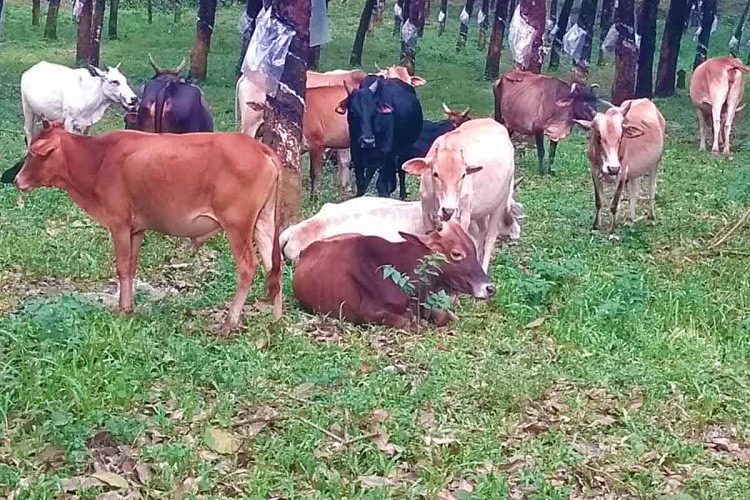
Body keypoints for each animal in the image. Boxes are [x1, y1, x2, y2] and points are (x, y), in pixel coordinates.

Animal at [14, 122, 282, 331]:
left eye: (34, 153)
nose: (17, 180)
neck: (97, 159)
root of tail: (259, 147)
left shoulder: (119, 223)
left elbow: (122, 267)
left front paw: (123, 310)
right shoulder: (137, 228)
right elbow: (132, 267)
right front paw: (129, 306)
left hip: (238, 225)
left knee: (248, 267)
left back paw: (230, 322)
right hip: (264, 222)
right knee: (273, 267)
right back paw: (277, 320)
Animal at [293, 220, 495, 329]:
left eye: (473, 248)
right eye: (456, 253)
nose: (490, 288)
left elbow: (448, 317)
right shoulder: (370, 314)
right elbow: (409, 322)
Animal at [402, 118, 522, 272]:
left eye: (463, 175)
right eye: (435, 174)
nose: (448, 210)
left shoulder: (463, 216)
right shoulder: (426, 213)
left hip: (500, 202)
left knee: (490, 237)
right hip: (481, 211)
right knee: (481, 234)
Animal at [574, 99, 666, 233]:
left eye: (621, 136)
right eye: (598, 136)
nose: (613, 168)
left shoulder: (622, 172)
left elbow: (614, 203)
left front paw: (612, 229)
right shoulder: (594, 170)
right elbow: (598, 201)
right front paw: (596, 226)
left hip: (655, 163)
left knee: (651, 190)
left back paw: (651, 217)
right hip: (634, 172)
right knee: (634, 191)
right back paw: (630, 220)